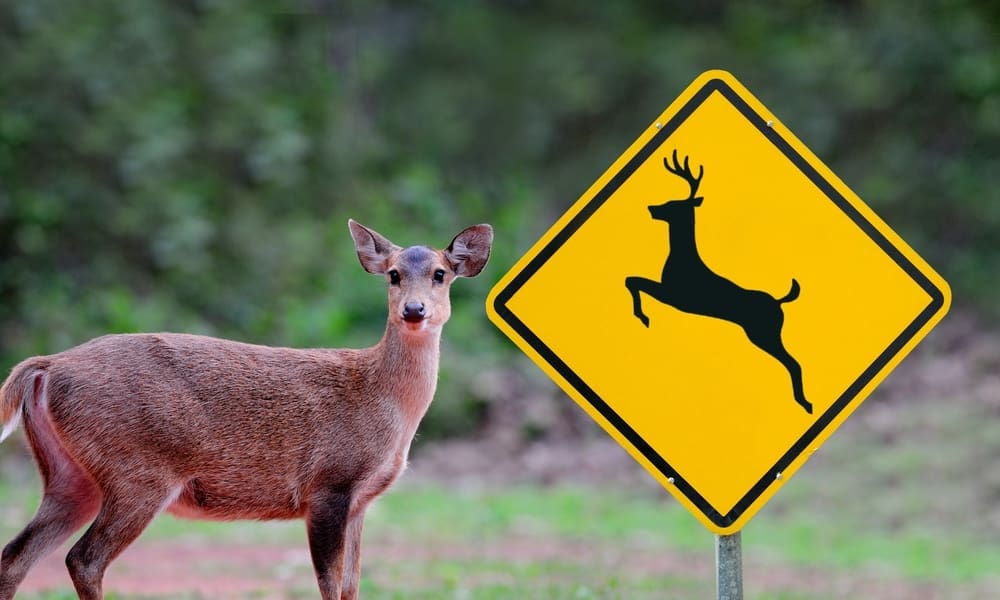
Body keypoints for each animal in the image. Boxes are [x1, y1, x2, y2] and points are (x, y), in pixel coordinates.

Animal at [0, 219, 493, 600]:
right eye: (393, 274)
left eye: (440, 273)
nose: (414, 310)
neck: (384, 402)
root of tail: (48, 366)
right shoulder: (328, 483)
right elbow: (329, 584)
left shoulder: (360, 500)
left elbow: (352, 586)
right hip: (136, 470)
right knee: (83, 559)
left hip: (71, 475)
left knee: (15, 556)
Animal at [625, 150, 811, 414]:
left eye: (673, 204)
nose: (651, 208)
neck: (681, 257)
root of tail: (779, 301)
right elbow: (632, 280)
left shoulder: (673, 296)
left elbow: (632, 281)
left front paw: (643, 317)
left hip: (764, 334)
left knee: (793, 363)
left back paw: (804, 403)